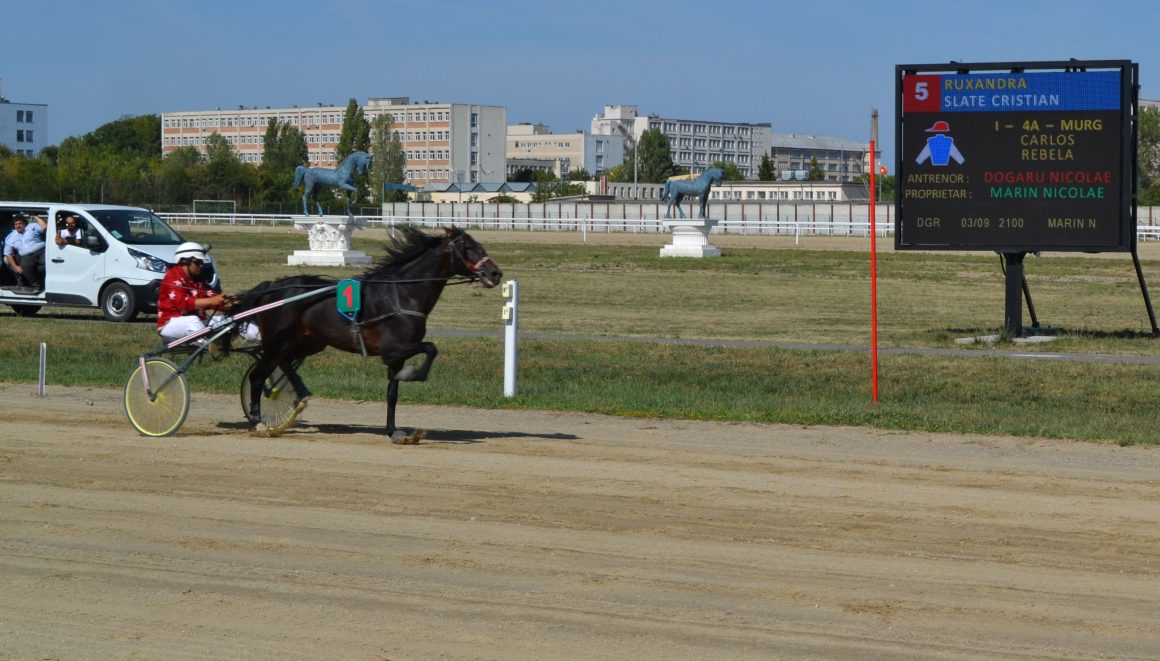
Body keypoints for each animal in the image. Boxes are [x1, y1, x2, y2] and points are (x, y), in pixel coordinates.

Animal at [235, 224, 503, 438]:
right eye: (468, 247)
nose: (495, 273)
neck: (402, 294)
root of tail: (270, 287)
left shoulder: (397, 357)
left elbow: (392, 393)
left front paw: (393, 430)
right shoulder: (392, 350)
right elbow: (431, 348)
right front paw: (413, 374)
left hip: (307, 342)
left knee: (284, 364)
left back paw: (299, 393)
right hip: (278, 343)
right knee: (258, 376)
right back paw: (258, 421)